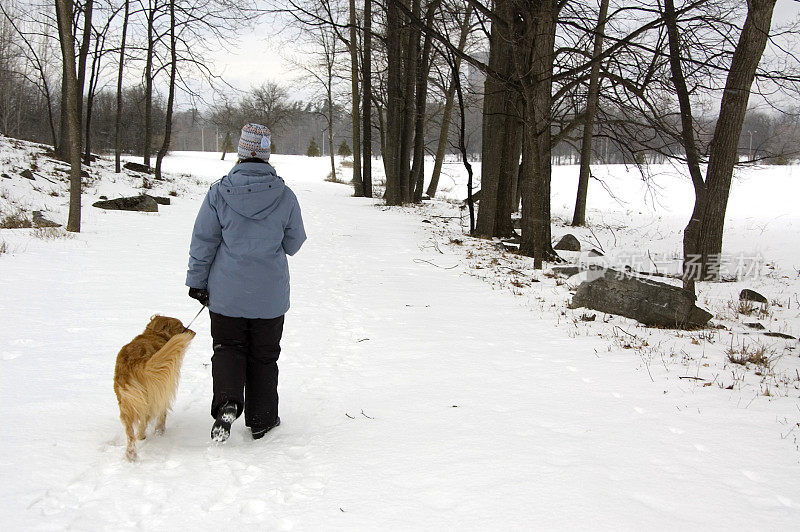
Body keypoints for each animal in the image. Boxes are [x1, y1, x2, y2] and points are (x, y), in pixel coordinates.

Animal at [114, 316, 195, 462]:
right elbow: (162, 412)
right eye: (180, 326)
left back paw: (131, 454)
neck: (154, 334)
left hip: (126, 401)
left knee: (130, 433)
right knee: (144, 419)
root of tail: (136, 362)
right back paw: (145, 435)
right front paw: (159, 431)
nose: (194, 332)